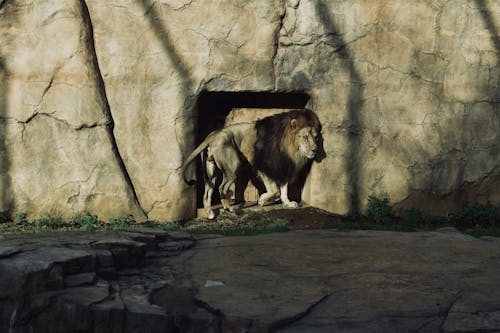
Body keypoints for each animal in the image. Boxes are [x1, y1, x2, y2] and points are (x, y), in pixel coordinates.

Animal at [183, 107, 324, 219]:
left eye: (316, 138)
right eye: (305, 137)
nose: (315, 150)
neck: (291, 149)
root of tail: (213, 134)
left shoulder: (283, 167)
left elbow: (283, 190)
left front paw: (287, 203)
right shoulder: (264, 166)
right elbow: (275, 190)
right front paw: (262, 200)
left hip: (211, 171)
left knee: (207, 192)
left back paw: (210, 213)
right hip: (232, 167)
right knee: (222, 188)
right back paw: (228, 208)